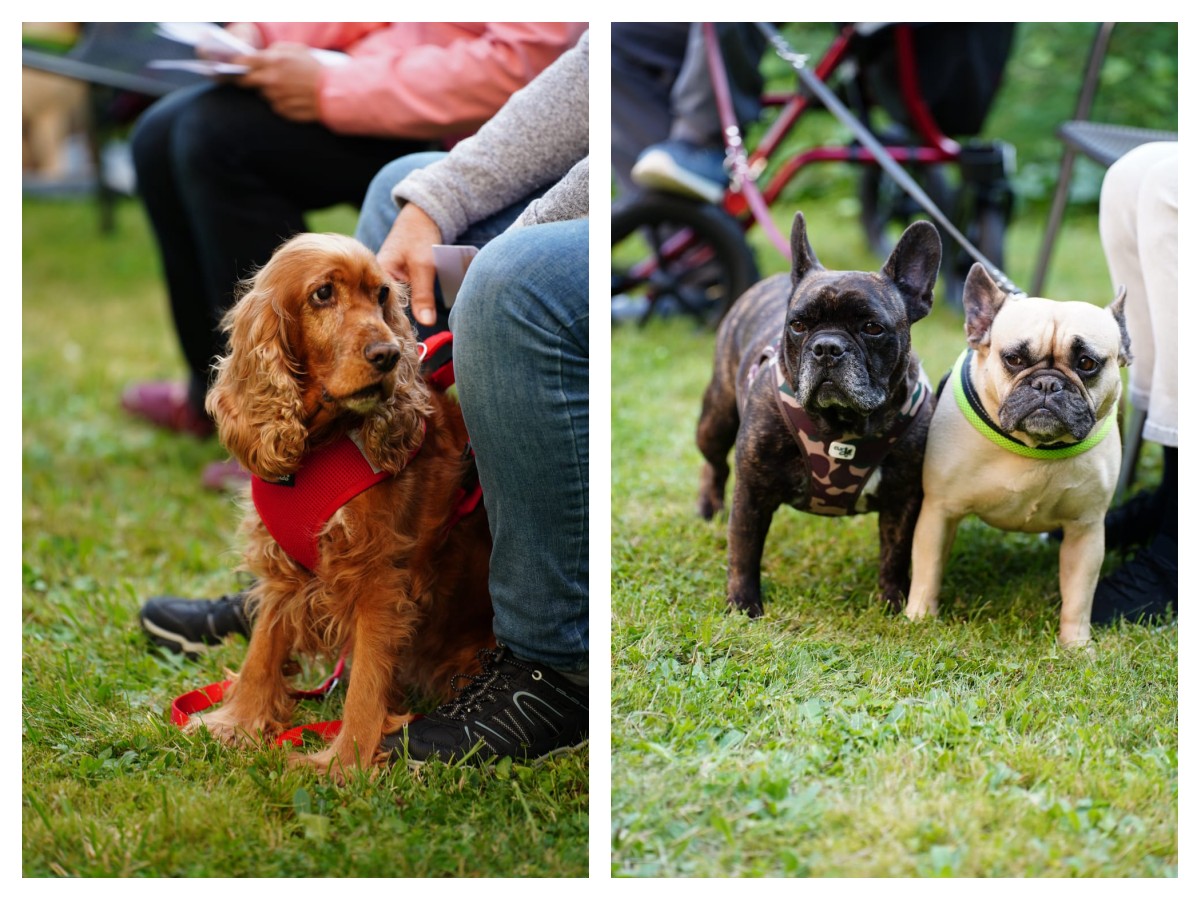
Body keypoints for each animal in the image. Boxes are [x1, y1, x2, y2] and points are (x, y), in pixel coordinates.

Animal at [196, 232, 492, 777]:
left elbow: (368, 681)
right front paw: (238, 723)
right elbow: (263, 646)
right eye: (322, 294)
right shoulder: (283, 563)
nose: (389, 354)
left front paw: (344, 763)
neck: (319, 448)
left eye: (381, 295)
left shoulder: (379, 576)